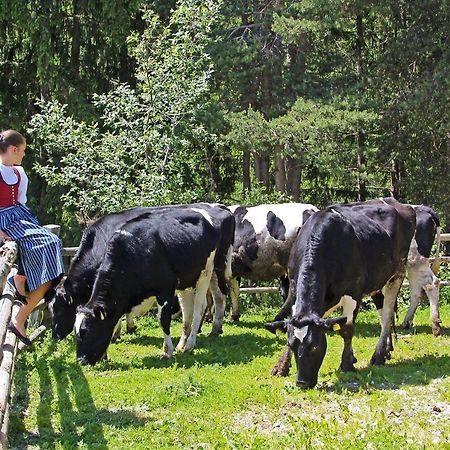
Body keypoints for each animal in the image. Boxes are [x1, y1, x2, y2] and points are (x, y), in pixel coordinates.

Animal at [264, 199, 414, 388]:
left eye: (315, 346)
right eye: (292, 345)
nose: (302, 383)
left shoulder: (353, 293)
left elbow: (347, 329)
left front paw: (347, 364)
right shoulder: (296, 292)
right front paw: (281, 366)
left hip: (397, 273)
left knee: (387, 315)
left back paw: (379, 355)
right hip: (376, 281)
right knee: (383, 313)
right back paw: (387, 350)